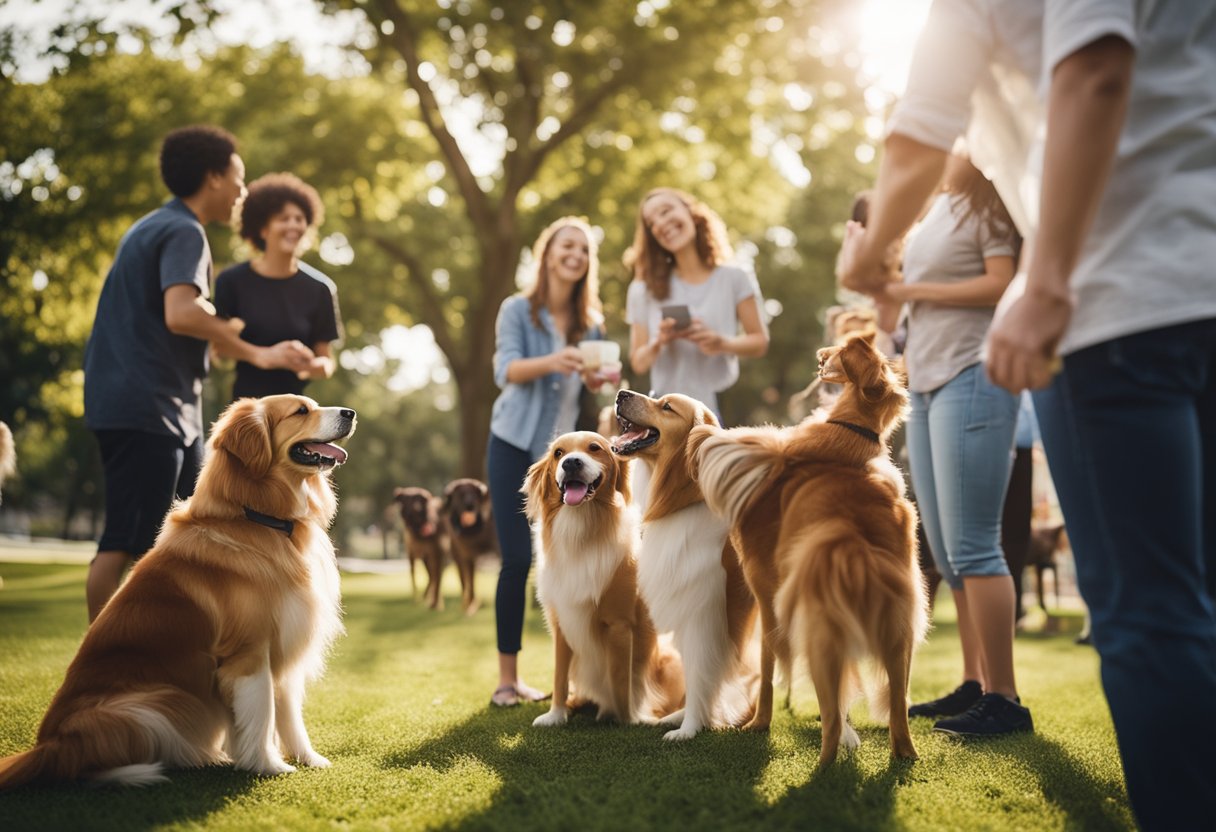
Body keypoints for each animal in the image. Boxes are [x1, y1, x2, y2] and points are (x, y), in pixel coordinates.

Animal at [442, 476, 493, 613]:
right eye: (460, 494)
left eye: (474, 494)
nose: (470, 505)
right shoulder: (463, 556)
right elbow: (467, 581)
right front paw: (469, 604)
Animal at [690, 333, 924, 768]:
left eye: (840, 349)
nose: (820, 352)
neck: (856, 429)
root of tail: (854, 543)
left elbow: (742, 439)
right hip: (902, 640)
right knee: (898, 713)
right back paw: (902, 753)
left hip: (819, 643)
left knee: (831, 720)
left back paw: (822, 766)